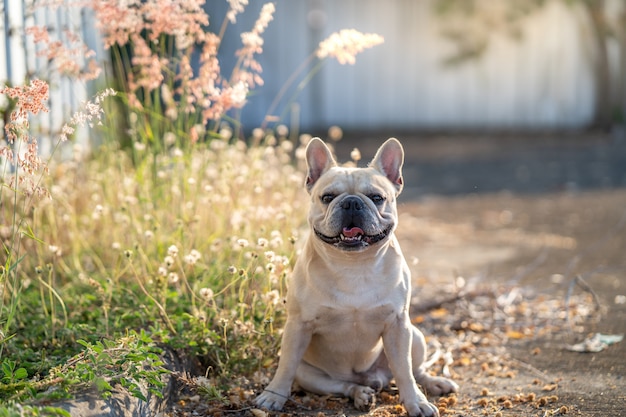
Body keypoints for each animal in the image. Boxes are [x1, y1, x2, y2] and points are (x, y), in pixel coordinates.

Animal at [255, 139, 458, 416]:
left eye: (377, 198)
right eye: (327, 197)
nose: (351, 202)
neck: (354, 265)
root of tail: (373, 378)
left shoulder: (398, 325)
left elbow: (405, 371)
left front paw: (415, 402)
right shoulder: (298, 326)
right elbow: (285, 366)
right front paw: (273, 395)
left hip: (415, 336)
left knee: (414, 370)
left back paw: (433, 383)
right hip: (309, 374)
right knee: (341, 385)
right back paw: (361, 394)